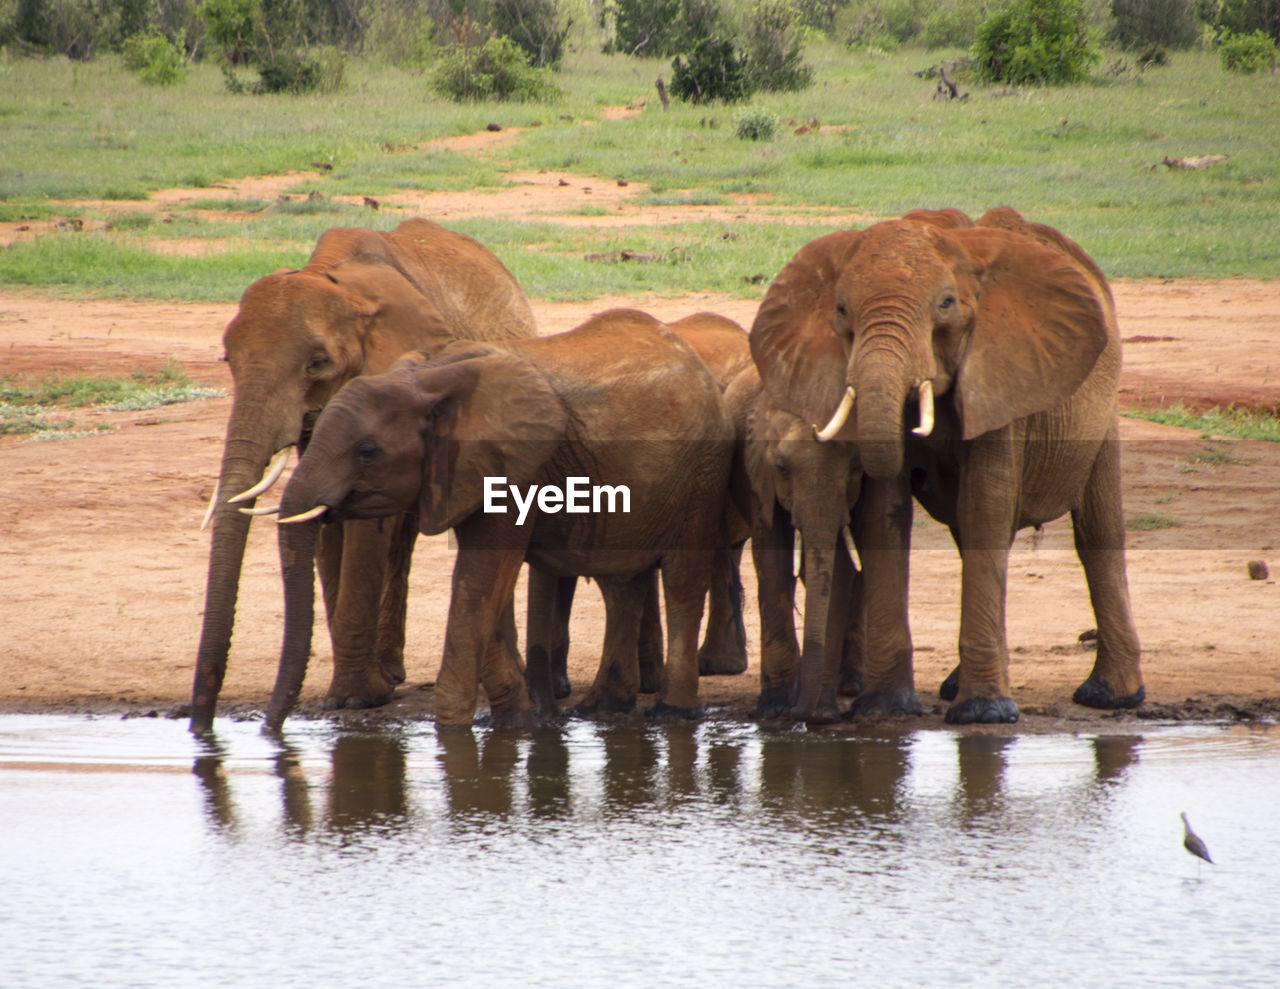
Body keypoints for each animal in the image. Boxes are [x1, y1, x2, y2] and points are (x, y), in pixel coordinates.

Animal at [185, 221, 535, 731]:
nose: (200, 726)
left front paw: (354, 699)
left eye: (316, 364)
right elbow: (324, 516)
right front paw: (354, 694)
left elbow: (363, 527)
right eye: (228, 361)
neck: (337, 282)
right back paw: (390, 673)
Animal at [271, 308, 737, 726]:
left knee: (681, 580)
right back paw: (601, 710)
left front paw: (453, 731)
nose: (272, 730)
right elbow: (488, 582)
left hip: (702, 472)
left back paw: (672, 713)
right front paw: (517, 722)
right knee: (622, 583)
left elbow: (478, 577)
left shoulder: (514, 467)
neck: (423, 379)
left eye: (367, 452)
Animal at [727, 365, 865, 721]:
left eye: (856, 468)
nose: (803, 714)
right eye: (781, 467)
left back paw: (850, 686)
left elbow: (840, 569)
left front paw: (824, 710)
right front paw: (776, 707)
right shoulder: (757, 475)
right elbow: (773, 560)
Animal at [747, 204, 1141, 721]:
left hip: (1101, 408)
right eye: (841, 311)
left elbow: (985, 506)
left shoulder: (1001, 374)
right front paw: (885, 709)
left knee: (1096, 532)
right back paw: (956, 686)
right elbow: (885, 511)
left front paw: (985, 714)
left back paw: (1110, 696)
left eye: (947, 304)